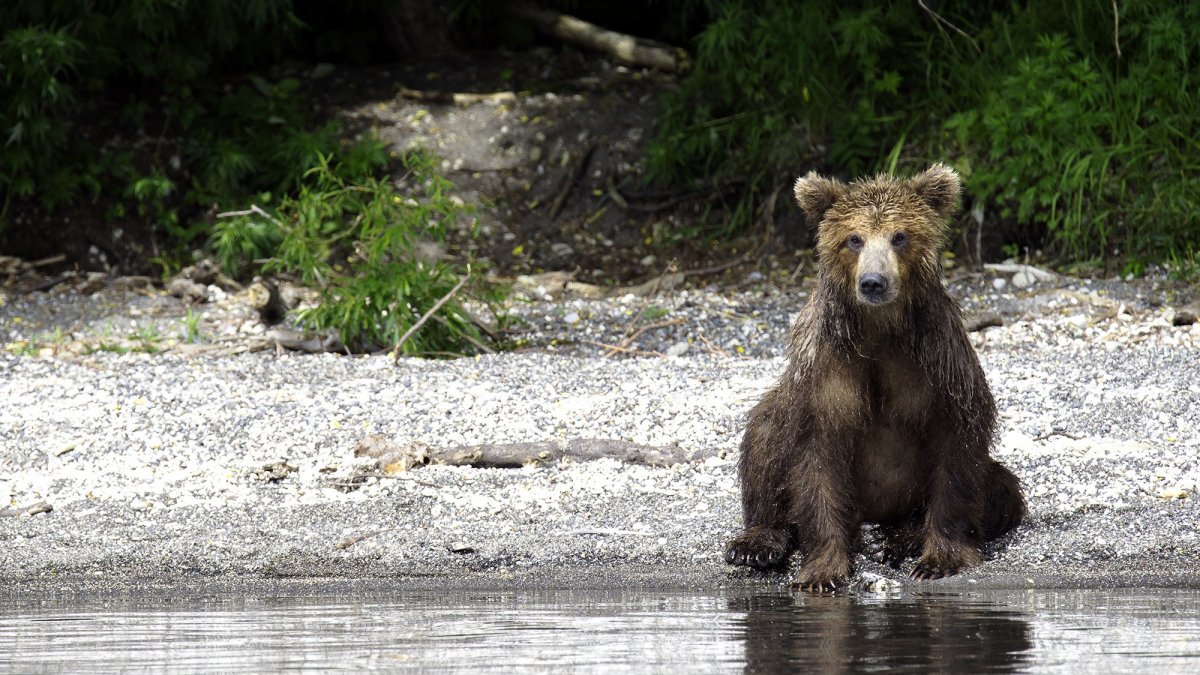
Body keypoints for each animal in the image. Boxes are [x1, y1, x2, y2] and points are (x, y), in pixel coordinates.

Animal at [724, 164, 1027, 588]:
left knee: (1002, 489)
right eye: (854, 238)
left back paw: (893, 538)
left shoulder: (939, 364)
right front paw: (822, 570)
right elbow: (815, 456)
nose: (873, 282)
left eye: (899, 235)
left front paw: (940, 559)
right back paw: (757, 543)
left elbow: (956, 453)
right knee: (764, 432)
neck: (880, 329)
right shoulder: (827, 372)